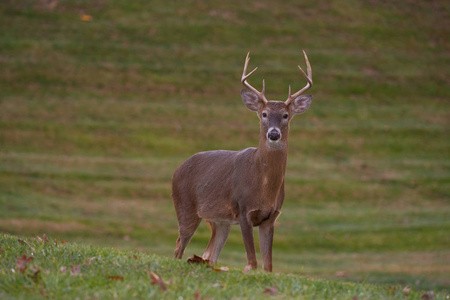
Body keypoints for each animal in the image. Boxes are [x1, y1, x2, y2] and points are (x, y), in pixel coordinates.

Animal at [172, 49, 312, 272]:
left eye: (285, 115)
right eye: (264, 114)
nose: (273, 134)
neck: (263, 187)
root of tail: (177, 170)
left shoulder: (271, 217)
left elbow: (268, 265)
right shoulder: (243, 209)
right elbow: (252, 262)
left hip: (220, 221)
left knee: (209, 254)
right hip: (185, 206)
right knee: (178, 247)